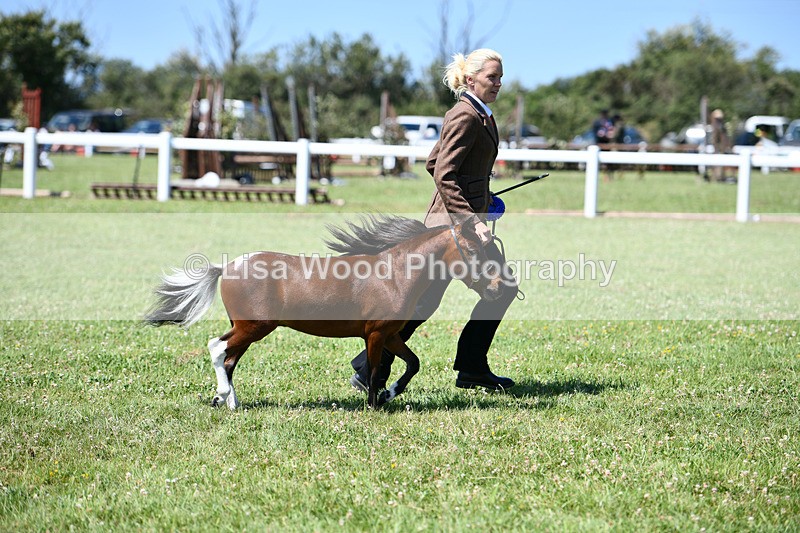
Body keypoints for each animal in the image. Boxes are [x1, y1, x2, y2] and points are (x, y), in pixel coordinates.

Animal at [144, 215, 504, 409]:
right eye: (472, 249)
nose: (497, 288)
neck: (394, 273)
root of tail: (227, 266)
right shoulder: (375, 334)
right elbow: (374, 369)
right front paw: (374, 403)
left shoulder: (390, 334)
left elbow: (412, 363)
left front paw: (389, 395)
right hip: (253, 327)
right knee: (217, 348)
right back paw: (222, 397)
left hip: (248, 330)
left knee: (230, 359)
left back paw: (231, 403)